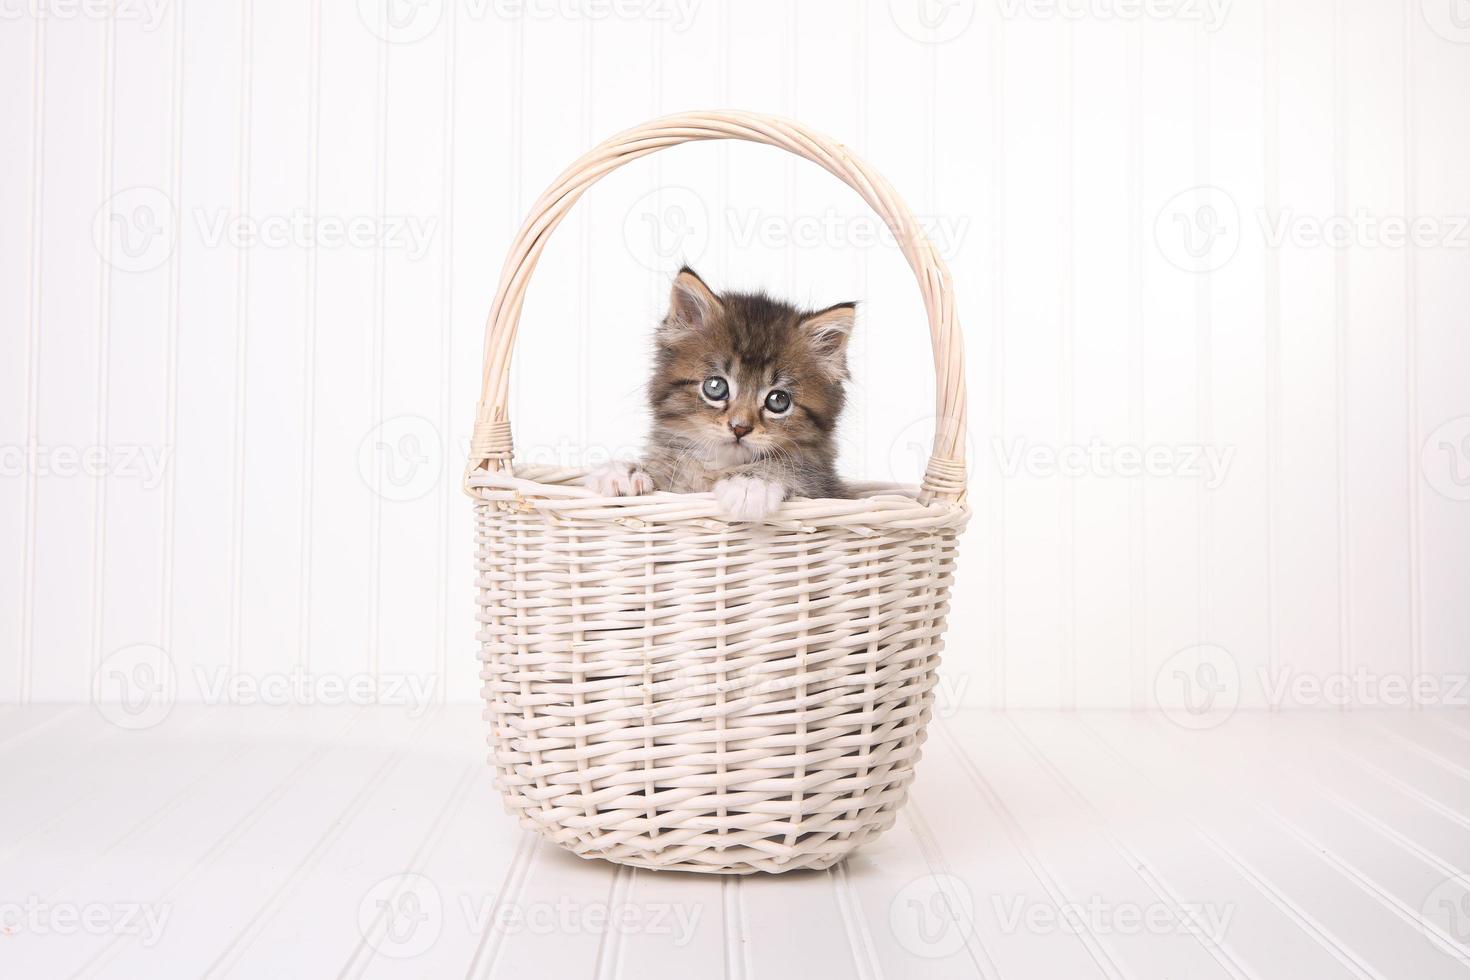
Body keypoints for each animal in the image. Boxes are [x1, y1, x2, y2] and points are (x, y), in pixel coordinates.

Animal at [585, 268, 858, 525]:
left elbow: (794, 471)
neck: (720, 467)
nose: (739, 428)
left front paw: (751, 484)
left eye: (778, 401)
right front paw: (626, 471)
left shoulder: (825, 486)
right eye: (715, 387)